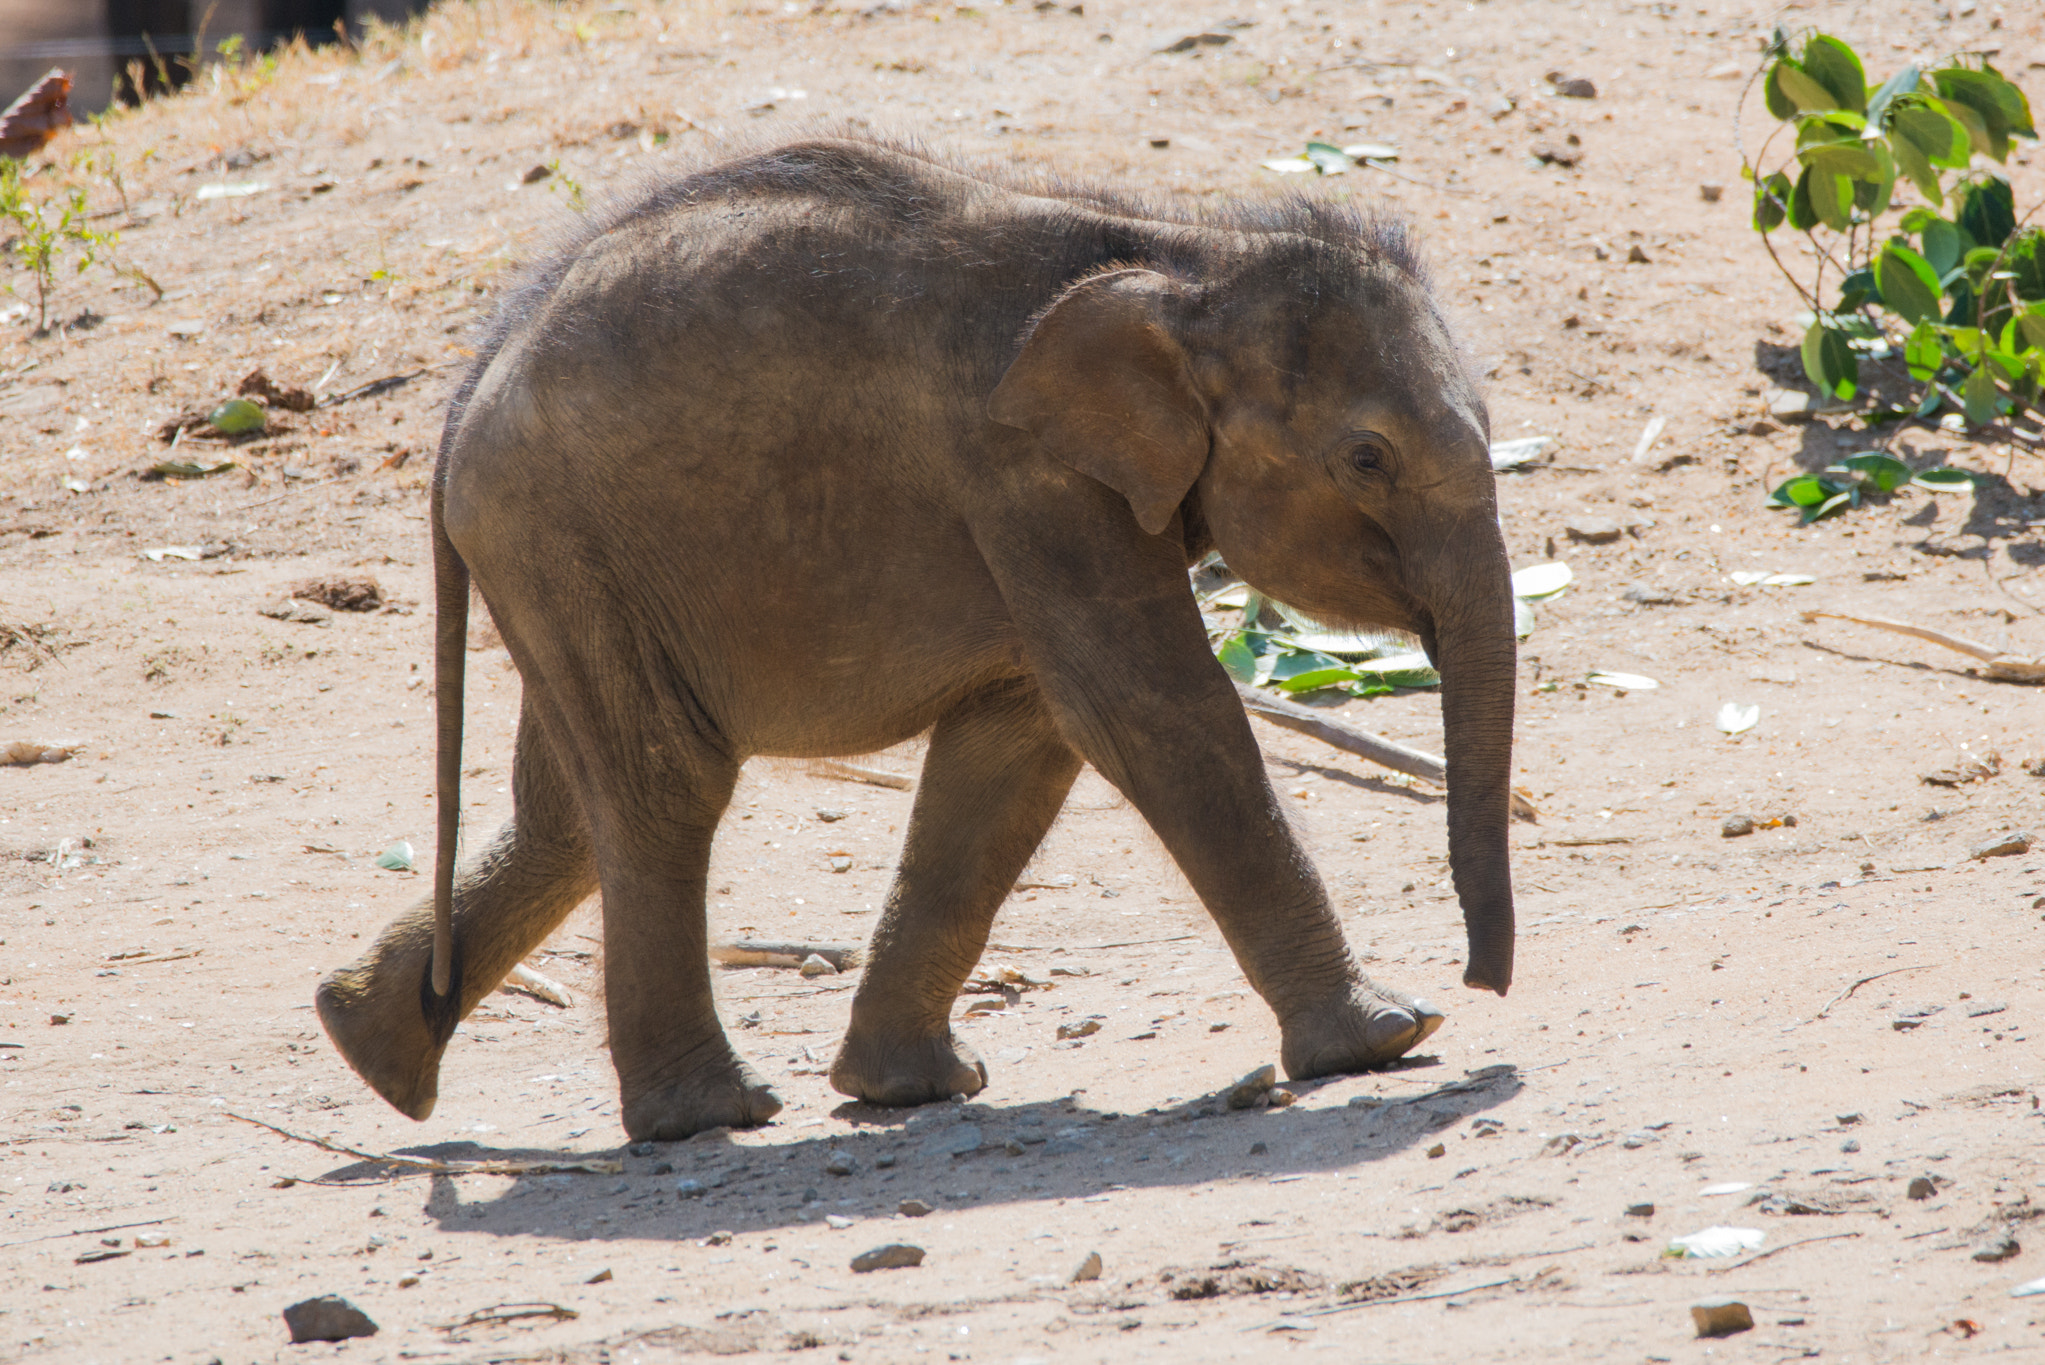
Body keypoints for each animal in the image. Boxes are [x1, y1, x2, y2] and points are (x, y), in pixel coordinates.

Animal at [314, 136, 1518, 1142]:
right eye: (1366, 459)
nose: (1480, 986)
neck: (1182, 257)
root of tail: (466, 390)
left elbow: (1019, 741)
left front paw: (911, 1089)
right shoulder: (1024, 479)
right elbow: (1150, 718)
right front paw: (1388, 1039)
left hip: (562, 571)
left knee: (569, 807)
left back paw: (369, 1046)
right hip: (561, 540)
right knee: (663, 787)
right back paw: (709, 1116)